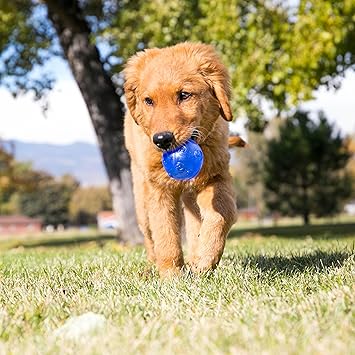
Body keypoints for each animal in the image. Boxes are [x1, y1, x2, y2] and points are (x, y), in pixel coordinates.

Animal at [124, 41, 238, 276]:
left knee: (195, 221)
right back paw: (153, 265)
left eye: (184, 95)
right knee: (149, 235)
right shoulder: (159, 189)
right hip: (141, 198)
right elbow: (165, 233)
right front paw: (171, 275)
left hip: (191, 195)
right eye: (148, 101)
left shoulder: (216, 176)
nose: (162, 140)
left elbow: (222, 214)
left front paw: (205, 258)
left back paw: (195, 258)